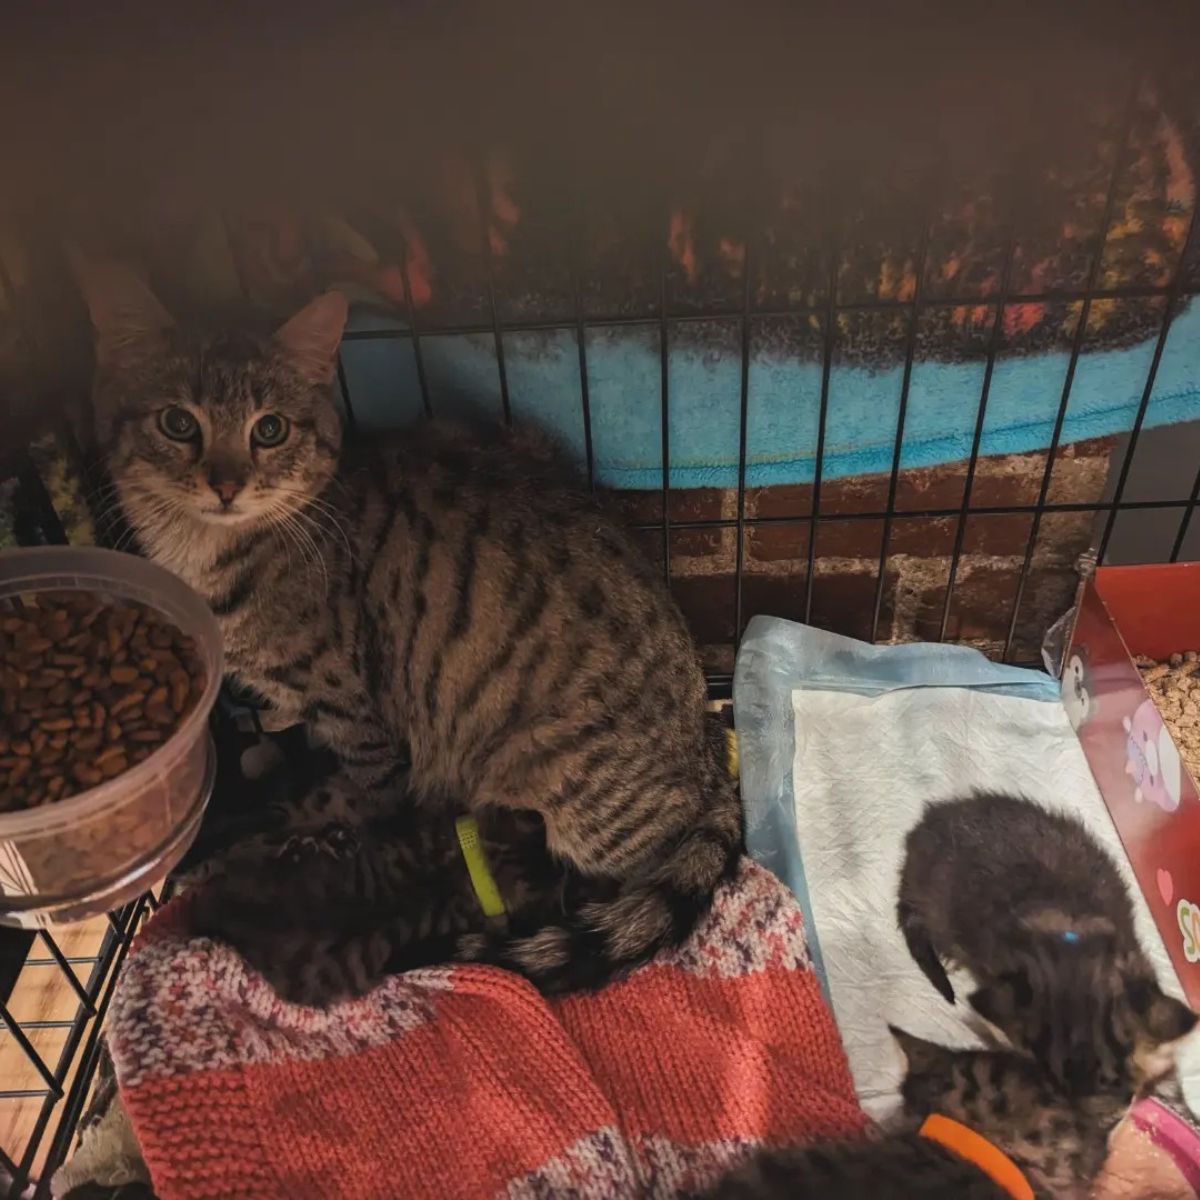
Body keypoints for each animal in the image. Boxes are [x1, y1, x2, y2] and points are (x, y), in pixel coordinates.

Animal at [75, 262, 739, 1003]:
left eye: (269, 430)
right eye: (177, 422)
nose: (225, 483)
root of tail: (708, 750)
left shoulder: (358, 724)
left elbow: (352, 801)